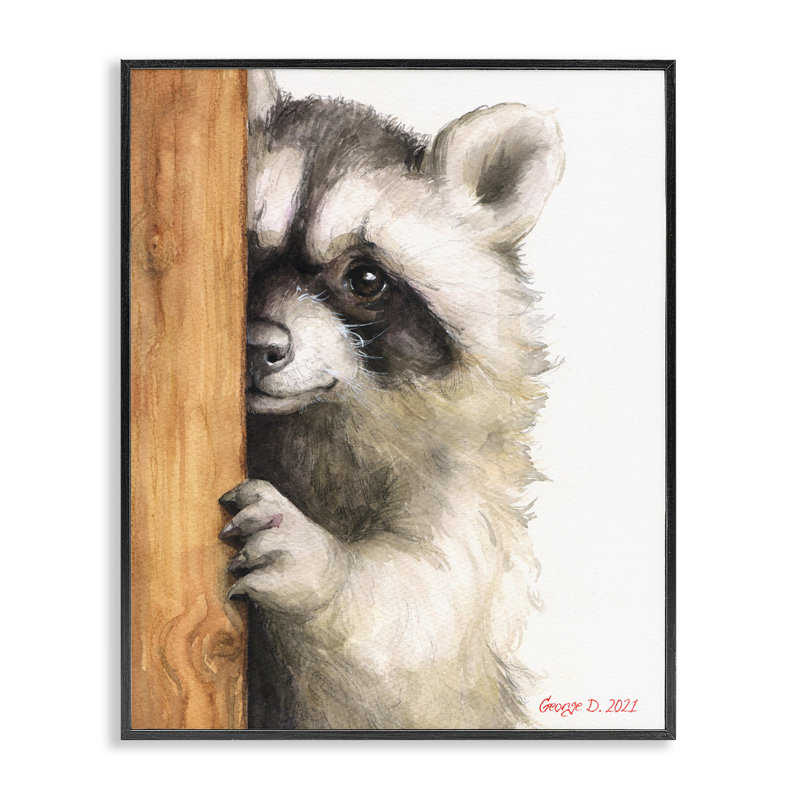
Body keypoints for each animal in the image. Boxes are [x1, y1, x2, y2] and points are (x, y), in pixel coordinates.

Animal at [218, 70, 564, 729]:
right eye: (241, 253)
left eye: (366, 279)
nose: (258, 349)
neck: (309, 424)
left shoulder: (466, 493)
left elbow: (423, 624)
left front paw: (323, 568)